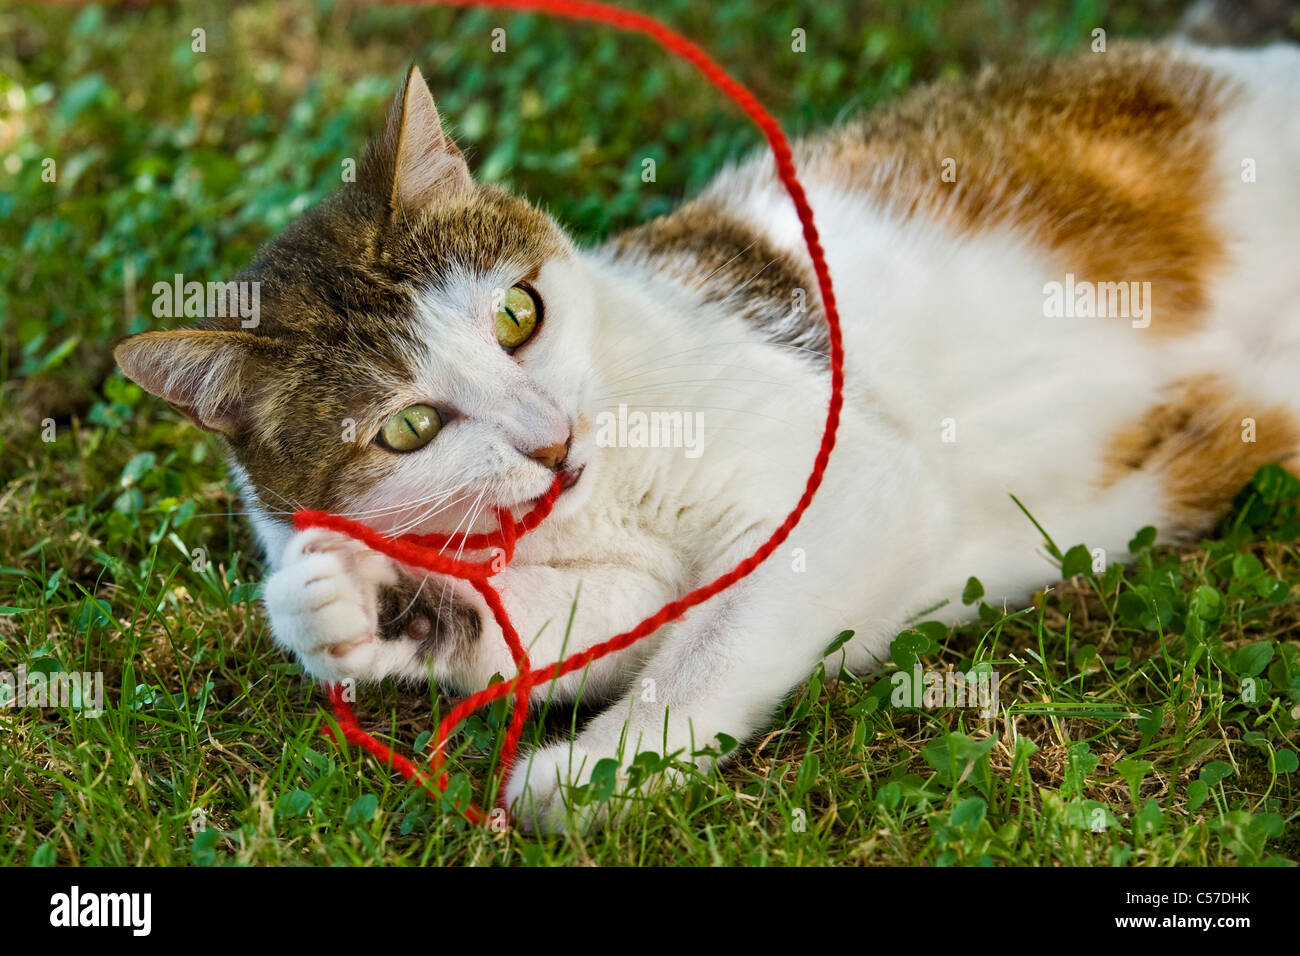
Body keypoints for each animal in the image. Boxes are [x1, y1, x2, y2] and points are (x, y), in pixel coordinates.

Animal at [111, 39, 1300, 832]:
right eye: (410, 426)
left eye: (517, 314)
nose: (552, 438)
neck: (594, 500)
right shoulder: (619, 580)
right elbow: (594, 623)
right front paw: (364, 603)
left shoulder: (848, 478)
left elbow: (719, 639)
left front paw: (597, 769)